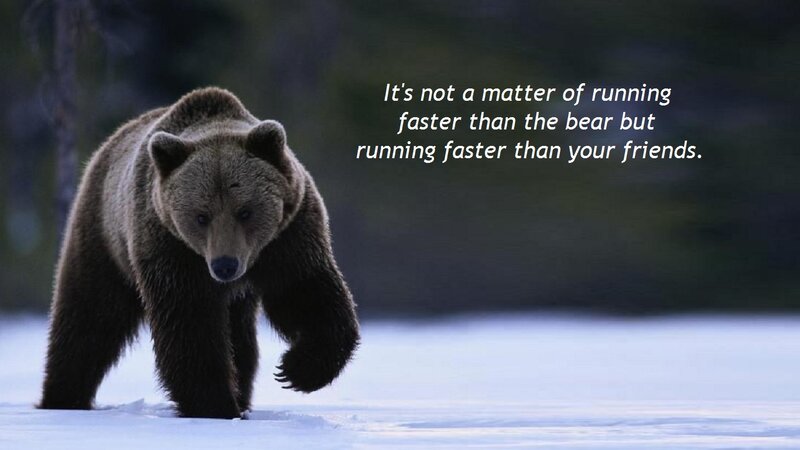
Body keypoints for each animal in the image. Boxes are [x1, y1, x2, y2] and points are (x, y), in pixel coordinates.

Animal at [38, 87, 360, 419]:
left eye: (245, 211)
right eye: (201, 216)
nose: (225, 265)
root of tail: (106, 147)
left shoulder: (288, 236)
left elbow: (305, 292)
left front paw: (296, 369)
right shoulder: (170, 246)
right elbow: (190, 323)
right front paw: (215, 404)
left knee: (240, 339)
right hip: (104, 238)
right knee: (90, 317)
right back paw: (63, 397)